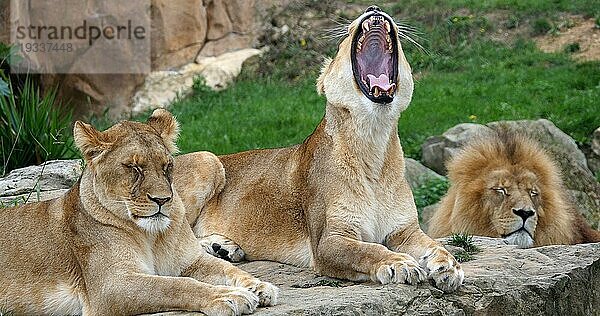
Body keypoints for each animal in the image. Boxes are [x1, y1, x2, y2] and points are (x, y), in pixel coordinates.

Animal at [0, 109, 276, 316]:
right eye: (134, 167)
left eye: (167, 166)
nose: (162, 200)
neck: (152, 236)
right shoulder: (111, 287)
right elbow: (177, 286)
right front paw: (229, 297)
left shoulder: (190, 261)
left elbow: (229, 271)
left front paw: (259, 287)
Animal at [175, 6, 464, 292]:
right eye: (343, 40)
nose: (373, 8)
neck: (374, 141)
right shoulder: (329, 241)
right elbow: (368, 251)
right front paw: (400, 263)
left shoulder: (405, 231)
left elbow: (433, 245)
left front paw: (449, 267)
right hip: (208, 160)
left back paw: (223, 247)